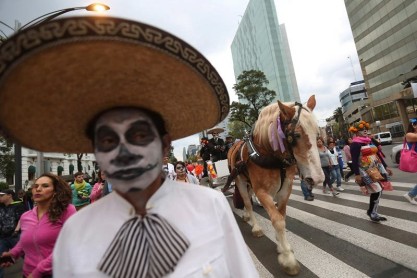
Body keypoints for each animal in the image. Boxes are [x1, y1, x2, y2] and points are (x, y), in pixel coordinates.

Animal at [226, 95, 324, 276]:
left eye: (317, 134)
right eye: (296, 135)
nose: (317, 178)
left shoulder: (285, 188)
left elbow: (281, 215)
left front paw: (280, 241)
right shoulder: (262, 191)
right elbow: (277, 220)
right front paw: (287, 258)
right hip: (240, 181)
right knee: (247, 202)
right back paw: (255, 226)